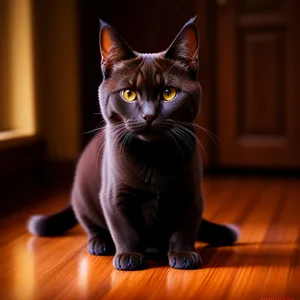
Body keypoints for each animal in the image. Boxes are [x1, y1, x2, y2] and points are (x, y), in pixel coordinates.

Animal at [28, 18, 239, 272]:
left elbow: (185, 226)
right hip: (82, 195)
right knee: (91, 224)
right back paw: (100, 243)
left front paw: (183, 253)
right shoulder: (113, 195)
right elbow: (124, 228)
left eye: (169, 93)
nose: (149, 115)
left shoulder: (191, 194)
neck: (153, 156)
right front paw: (128, 255)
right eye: (128, 94)